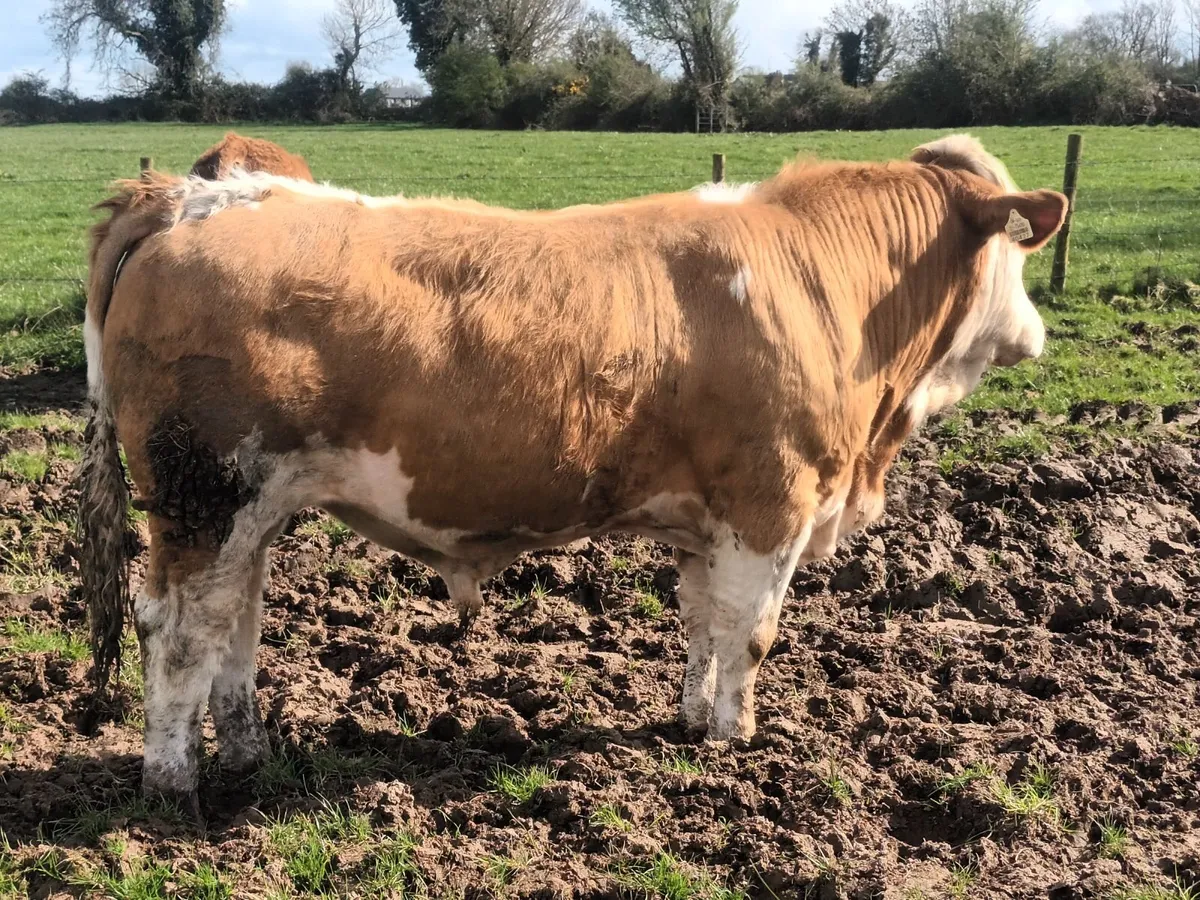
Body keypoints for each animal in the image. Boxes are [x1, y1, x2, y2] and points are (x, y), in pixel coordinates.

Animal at [77, 135, 1066, 809]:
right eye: (1018, 246)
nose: (1037, 335)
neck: (821, 286)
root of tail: (188, 196)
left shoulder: (707, 520)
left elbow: (704, 625)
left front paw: (692, 722)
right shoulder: (771, 502)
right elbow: (752, 633)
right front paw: (737, 738)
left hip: (250, 509)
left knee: (234, 625)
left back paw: (247, 754)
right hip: (204, 496)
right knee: (176, 630)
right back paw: (173, 781)